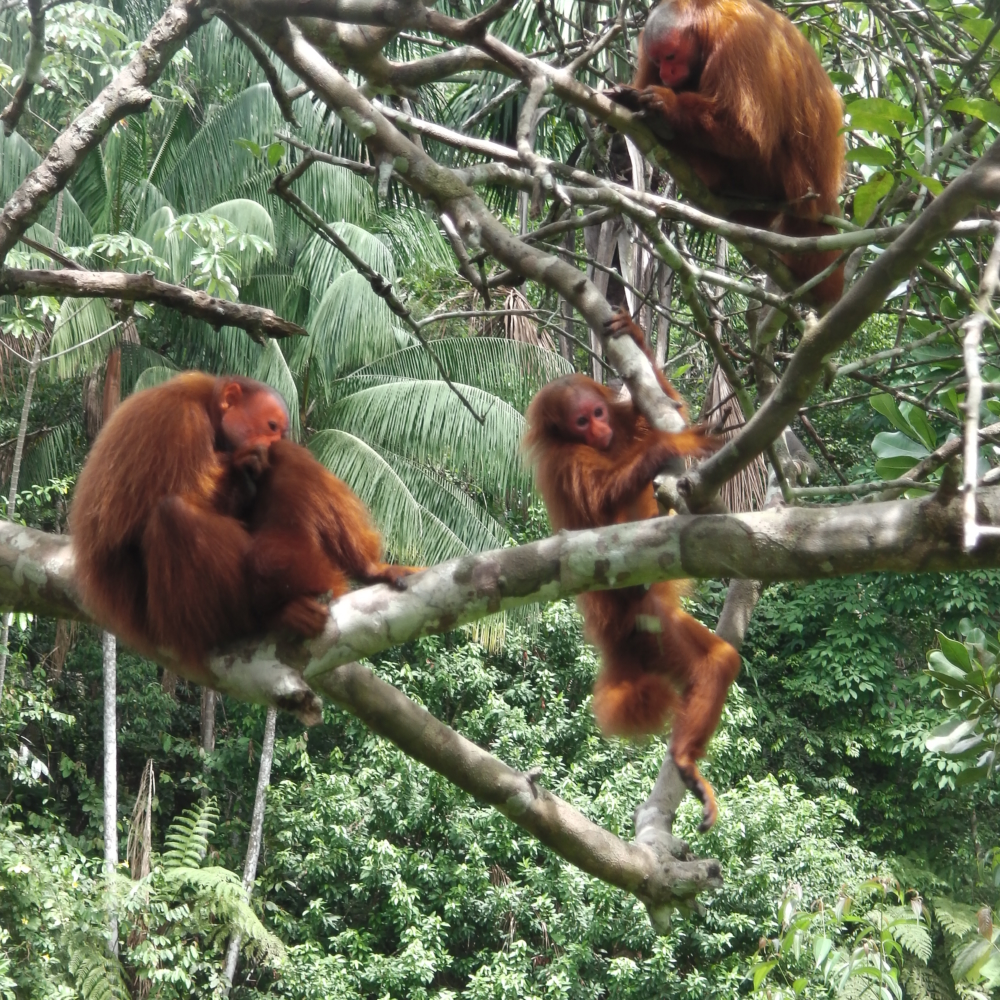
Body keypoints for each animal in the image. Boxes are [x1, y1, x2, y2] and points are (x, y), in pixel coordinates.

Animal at [71, 374, 410, 688]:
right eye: (271, 425)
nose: (274, 441)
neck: (206, 409)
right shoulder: (179, 422)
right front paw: (243, 462)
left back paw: (370, 568)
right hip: (173, 618)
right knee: (172, 514)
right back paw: (274, 613)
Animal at [524, 310, 744, 828]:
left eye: (599, 414)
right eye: (580, 421)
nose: (598, 430)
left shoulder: (626, 418)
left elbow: (663, 402)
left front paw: (637, 337)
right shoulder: (564, 460)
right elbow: (599, 499)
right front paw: (673, 442)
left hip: (657, 630)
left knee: (715, 662)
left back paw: (685, 760)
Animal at [608, 0, 844, 308]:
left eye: (671, 56)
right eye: (660, 62)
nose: (667, 74)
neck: (707, 26)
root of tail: (822, 198)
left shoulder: (739, 45)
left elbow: (747, 134)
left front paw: (666, 106)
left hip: (783, 179)